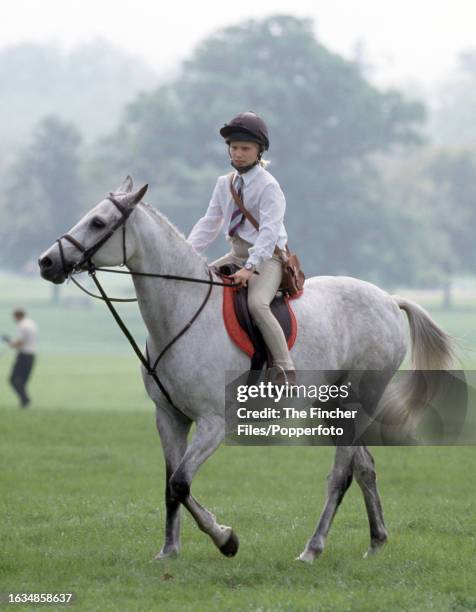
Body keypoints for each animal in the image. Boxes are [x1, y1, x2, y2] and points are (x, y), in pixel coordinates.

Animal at [37, 178, 454, 564]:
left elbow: (182, 482)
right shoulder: (169, 417)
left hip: (356, 402)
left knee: (342, 474)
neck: (182, 313)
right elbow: (170, 485)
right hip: (333, 407)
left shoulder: (213, 423)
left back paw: (312, 549)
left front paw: (226, 539)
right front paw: (169, 551)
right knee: (365, 467)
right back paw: (376, 541)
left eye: (98, 222)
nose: (46, 262)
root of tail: (389, 300)